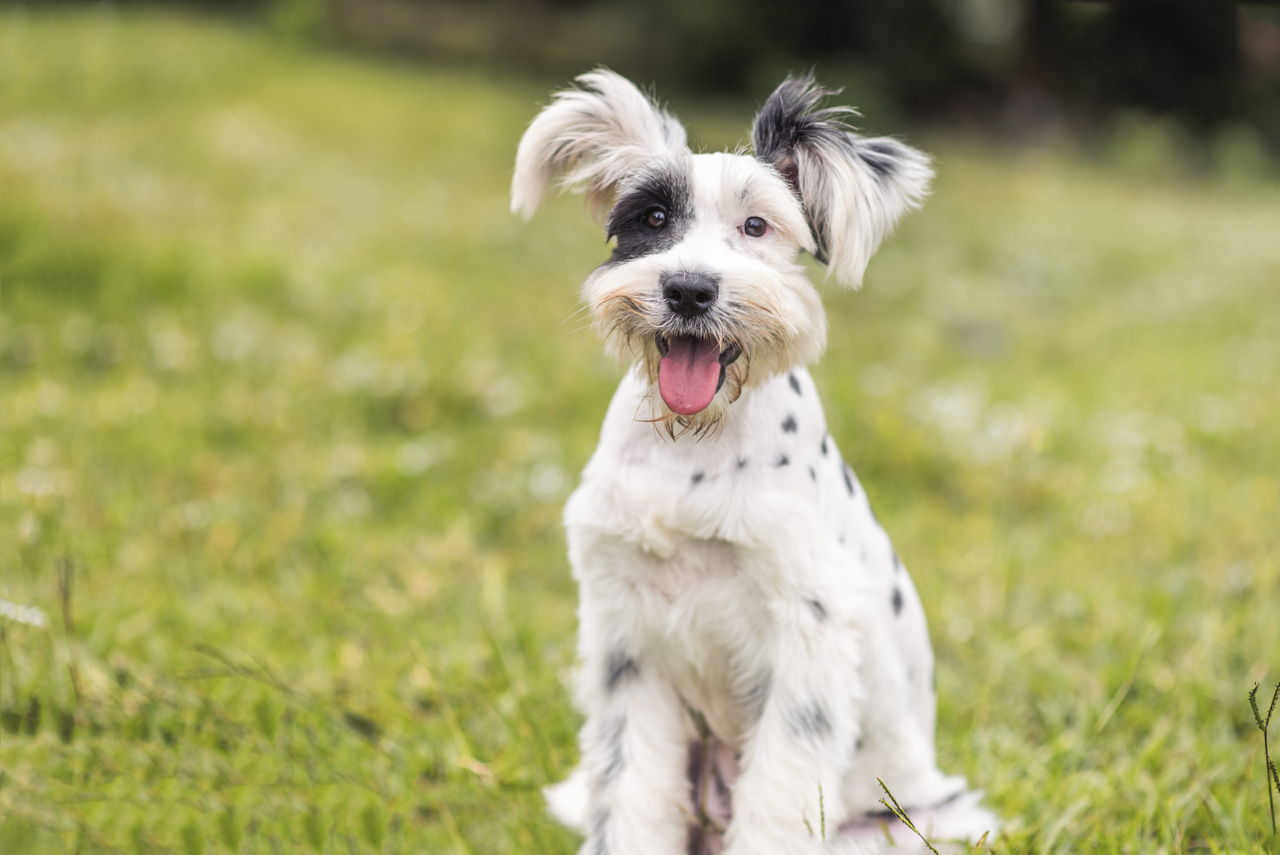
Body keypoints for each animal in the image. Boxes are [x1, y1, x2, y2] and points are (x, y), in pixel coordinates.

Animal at [512, 71, 998, 855]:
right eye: (652, 217)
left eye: (757, 226)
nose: (689, 289)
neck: (691, 449)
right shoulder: (628, 645)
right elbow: (630, 792)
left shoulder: (807, 644)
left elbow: (775, 797)